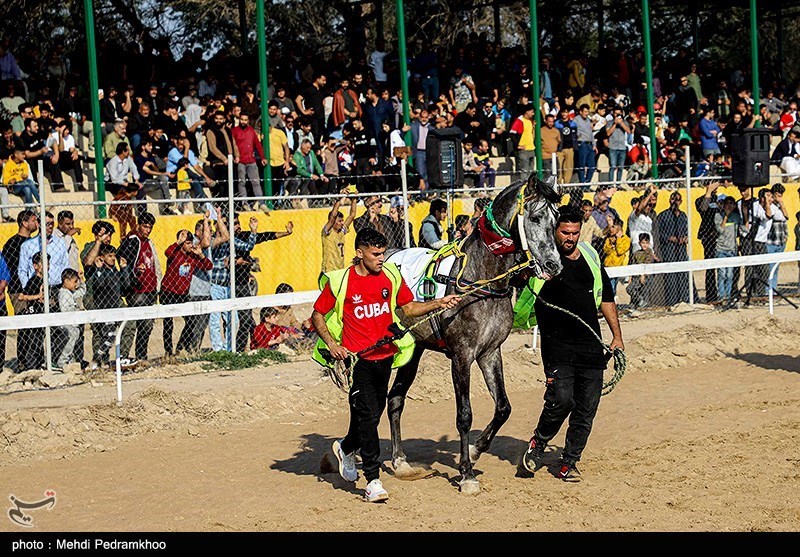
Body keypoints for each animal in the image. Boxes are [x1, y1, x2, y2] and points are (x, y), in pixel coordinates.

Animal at [388, 176, 564, 494]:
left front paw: (473, 451)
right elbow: (465, 415)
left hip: (412, 350)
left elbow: (503, 407)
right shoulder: (461, 356)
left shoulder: (490, 353)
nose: (553, 266)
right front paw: (467, 474)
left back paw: (400, 461)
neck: (480, 282)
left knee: (395, 399)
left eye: (557, 219)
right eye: (535, 217)